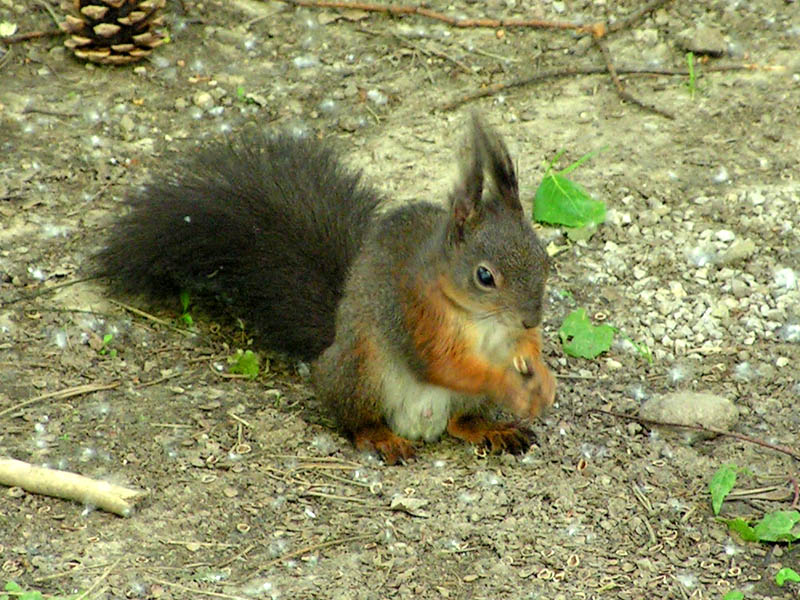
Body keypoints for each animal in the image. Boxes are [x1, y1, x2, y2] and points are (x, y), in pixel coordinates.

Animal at [97, 117, 556, 464]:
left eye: (543, 258)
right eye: (484, 276)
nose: (530, 317)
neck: (482, 321)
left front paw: (539, 371)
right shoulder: (411, 313)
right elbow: (437, 362)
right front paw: (511, 382)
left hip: (460, 401)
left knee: (463, 423)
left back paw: (492, 429)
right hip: (361, 370)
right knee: (356, 422)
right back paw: (381, 438)